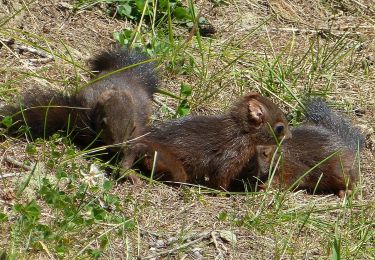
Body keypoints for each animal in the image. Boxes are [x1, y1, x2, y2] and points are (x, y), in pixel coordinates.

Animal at [0, 47, 158, 178]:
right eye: (104, 125)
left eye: (131, 130)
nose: (117, 147)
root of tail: (126, 70)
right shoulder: (86, 112)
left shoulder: (137, 132)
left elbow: (132, 150)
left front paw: (126, 170)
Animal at [125, 92, 292, 190]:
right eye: (280, 128)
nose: (290, 137)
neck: (242, 133)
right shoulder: (229, 159)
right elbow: (220, 180)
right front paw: (225, 194)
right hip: (167, 161)